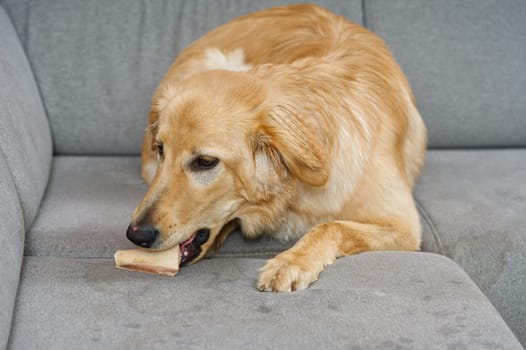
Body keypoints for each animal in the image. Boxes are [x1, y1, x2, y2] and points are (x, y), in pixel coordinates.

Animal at [127, 4, 428, 292]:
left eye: (205, 162)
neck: (293, 194)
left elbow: (332, 226)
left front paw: (291, 261)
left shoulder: (404, 228)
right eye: (161, 149)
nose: (136, 235)